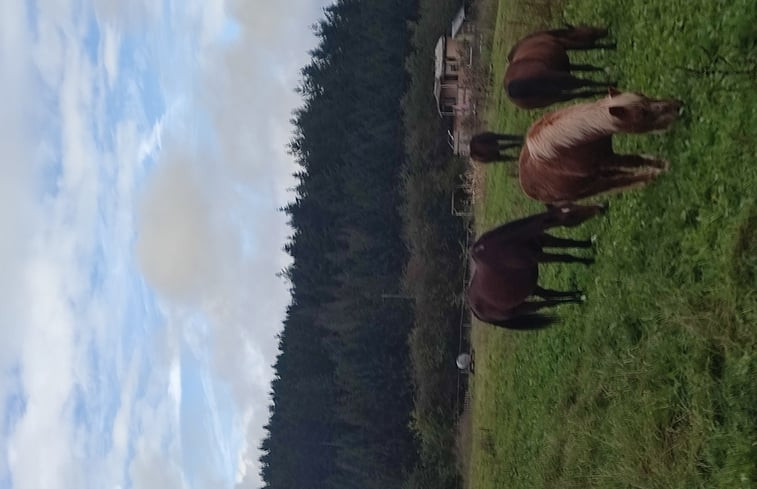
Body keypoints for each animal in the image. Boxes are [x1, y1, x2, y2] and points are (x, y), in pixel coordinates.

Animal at [464, 200, 604, 330]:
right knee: (548, 303)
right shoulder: (539, 256)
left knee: (549, 294)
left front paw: (590, 242)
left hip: (531, 288)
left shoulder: (545, 240)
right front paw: (589, 261)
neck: (507, 243)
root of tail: (473, 309)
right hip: (521, 307)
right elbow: (566, 257)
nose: (601, 207)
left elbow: (569, 243)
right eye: (571, 215)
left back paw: (577, 293)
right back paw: (578, 299)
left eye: (573, 204)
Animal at [516, 88, 684, 205]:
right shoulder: (607, 159)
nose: (677, 105)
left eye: (644, 96)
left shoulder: (607, 156)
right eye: (642, 113)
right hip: (591, 186)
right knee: (619, 182)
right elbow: (635, 162)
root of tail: (526, 187)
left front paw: (662, 165)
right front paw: (662, 169)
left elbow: (636, 159)